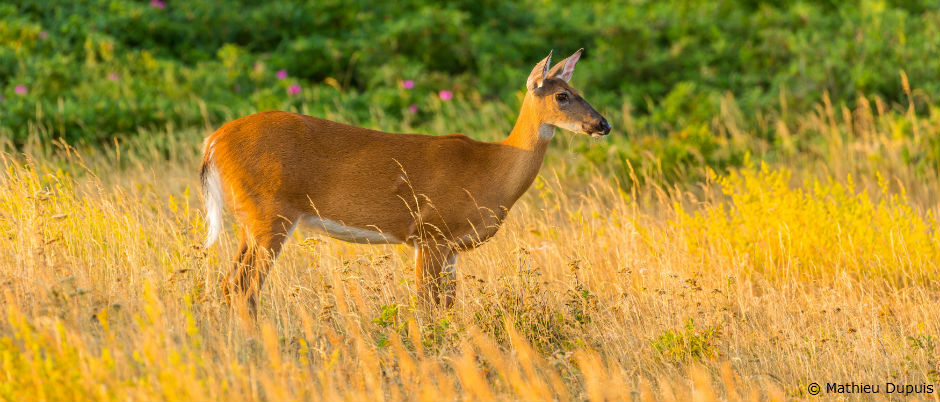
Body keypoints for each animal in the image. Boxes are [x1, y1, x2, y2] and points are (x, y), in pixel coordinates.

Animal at [202, 48, 612, 316]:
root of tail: (214, 141)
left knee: (229, 284)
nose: (602, 124)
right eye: (562, 96)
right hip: (270, 212)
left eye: (582, 93)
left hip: (252, 218)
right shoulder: (430, 231)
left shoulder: (449, 245)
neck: (492, 168)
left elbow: (446, 307)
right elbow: (425, 306)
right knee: (244, 287)